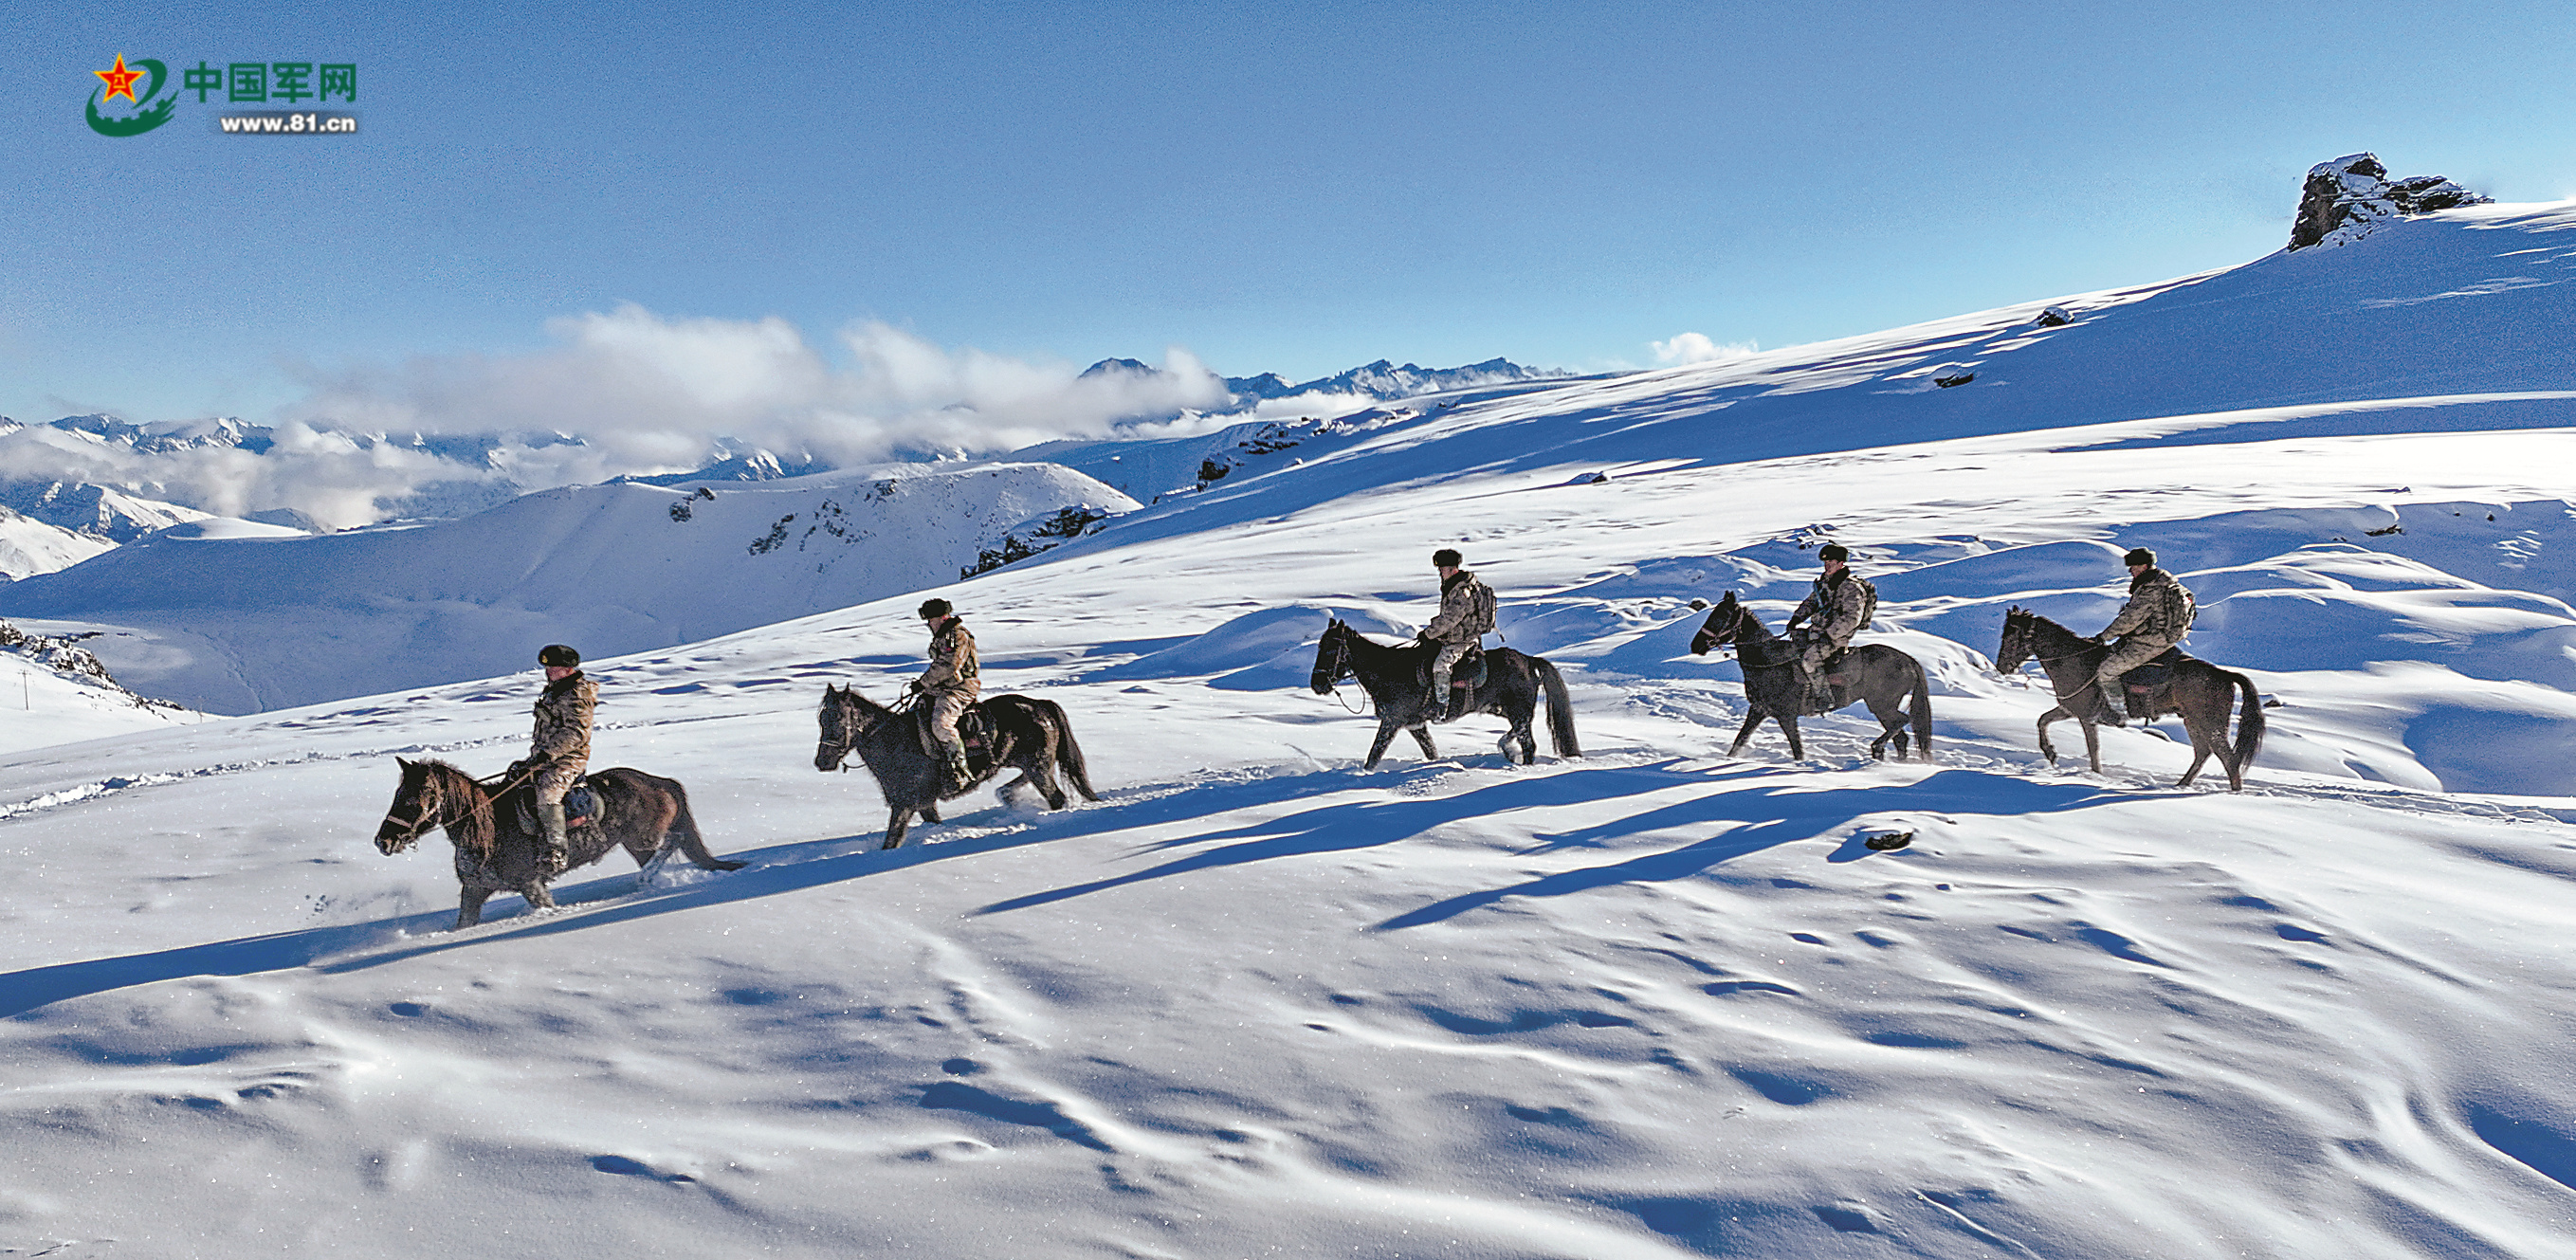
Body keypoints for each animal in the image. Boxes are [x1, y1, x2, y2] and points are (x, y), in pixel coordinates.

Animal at [373, 758, 745, 930]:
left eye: (411, 800)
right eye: (396, 795)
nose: (383, 841)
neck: (487, 830)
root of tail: (662, 782)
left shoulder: (532, 885)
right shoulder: (475, 890)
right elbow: (464, 922)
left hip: (642, 839)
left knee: (672, 842)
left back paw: (643, 881)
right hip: (638, 845)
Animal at [814, 685, 1100, 850]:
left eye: (838, 718)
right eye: (821, 719)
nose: (822, 762)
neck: (894, 740)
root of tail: (1041, 705)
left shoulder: (904, 805)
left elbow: (891, 841)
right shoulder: (924, 804)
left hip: (1038, 768)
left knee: (1057, 798)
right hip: (1031, 766)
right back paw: (1010, 796)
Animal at [1307, 619, 1580, 769]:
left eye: (1331, 650)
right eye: (1319, 647)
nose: (1317, 685)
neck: (1388, 670)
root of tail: (1529, 660)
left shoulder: (1391, 722)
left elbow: (1374, 756)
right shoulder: (1415, 725)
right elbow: (1431, 752)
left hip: (1518, 712)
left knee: (1529, 745)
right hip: (1506, 710)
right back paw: (1506, 749)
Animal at [1689, 591, 1933, 762]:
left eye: (1723, 616)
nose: (1696, 645)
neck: (1768, 662)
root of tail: (1910, 662)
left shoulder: (1786, 716)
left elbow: (1797, 749)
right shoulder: (1758, 710)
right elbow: (1739, 741)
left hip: (1881, 705)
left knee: (1902, 722)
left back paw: (1877, 749)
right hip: (1882, 707)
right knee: (1901, 737)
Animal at [1995, 607, 2265, 791]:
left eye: (2010, 638)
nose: (2001, 667)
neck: (2073, 659)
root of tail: (2224, 674)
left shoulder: (2085, 716)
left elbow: (2093, 749)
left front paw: (2096, 776)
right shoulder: (2070, 708)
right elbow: (2042, 720)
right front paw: (2050, 753)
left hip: (2210, 723)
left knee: (2228, 759)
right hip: (2193, 721)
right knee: (2203, 753)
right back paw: (2181, 785)